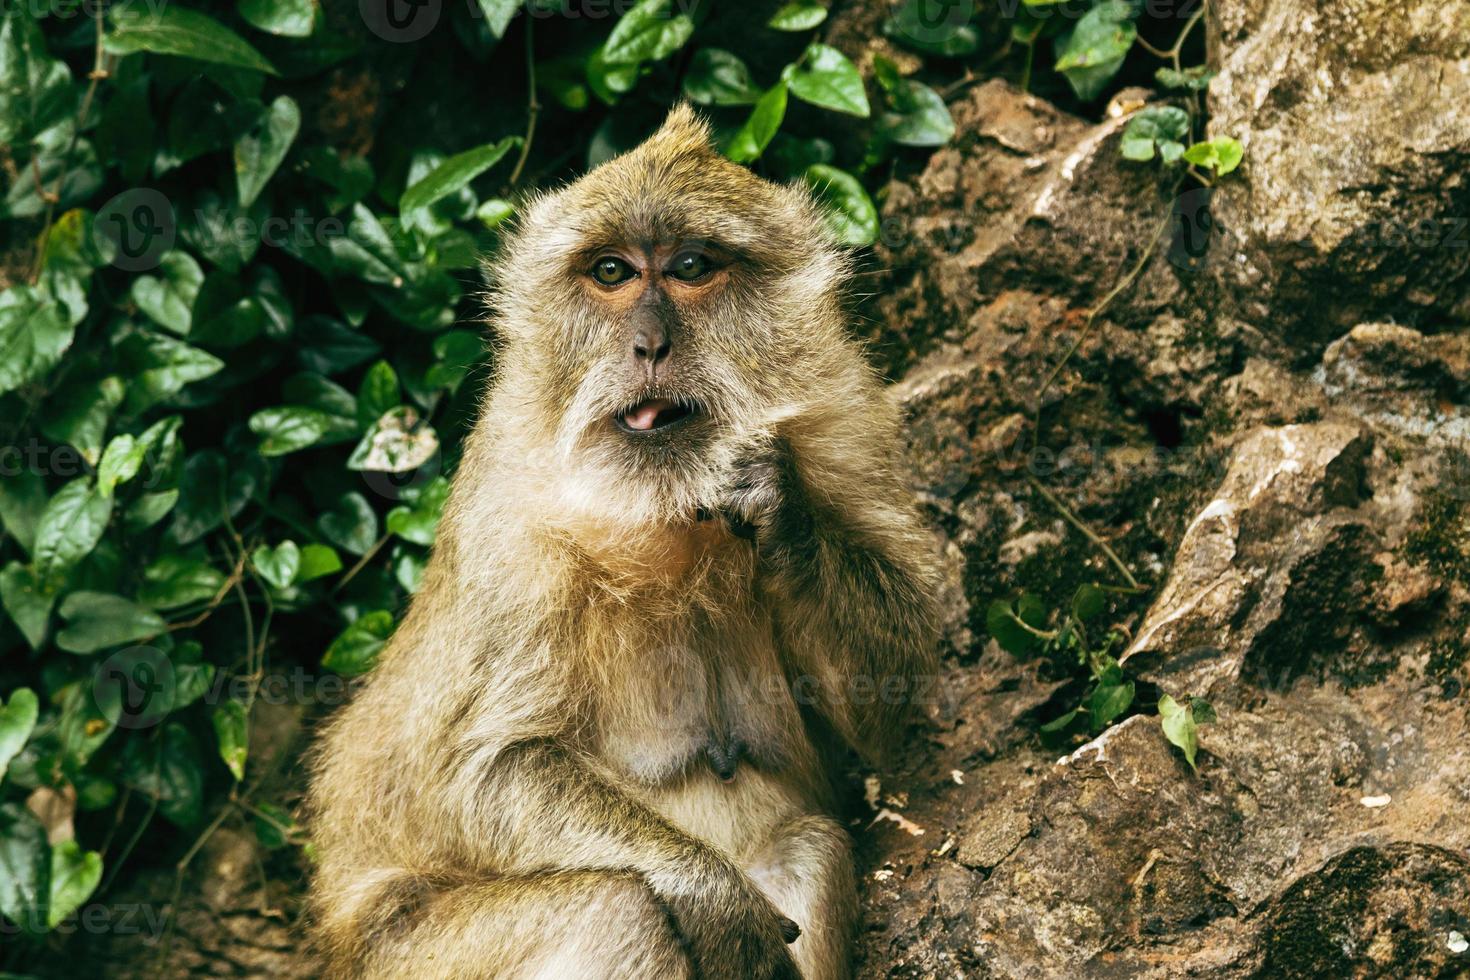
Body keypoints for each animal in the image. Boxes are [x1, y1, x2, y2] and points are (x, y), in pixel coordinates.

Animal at [307, 107, 940, 980]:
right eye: (611, 272)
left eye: (691, 267)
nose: (649, 346)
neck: (665, 514)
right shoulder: (510, 523)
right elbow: (484, 772)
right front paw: (709, 893)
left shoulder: (847, 422)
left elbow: (891, 706)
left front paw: (778, 505)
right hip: (402, 958)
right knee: (618, 910)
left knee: (809, 847)